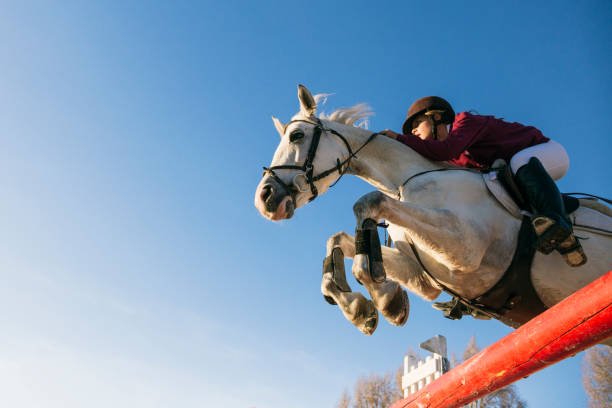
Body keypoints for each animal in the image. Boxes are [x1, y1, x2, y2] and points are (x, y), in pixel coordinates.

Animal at [253, 84, 612, 336]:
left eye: (297, 135)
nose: (265, 199)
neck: (405, 182)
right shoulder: (426, 275)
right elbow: (337, 240)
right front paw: (365, 308)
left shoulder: (466, 248)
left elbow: (368, 204)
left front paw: (385, 299)